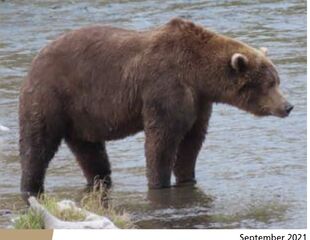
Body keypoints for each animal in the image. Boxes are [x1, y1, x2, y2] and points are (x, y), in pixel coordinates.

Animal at [18, 17, 294, 201]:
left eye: (277, 80)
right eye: (270, 83)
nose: (288, 106)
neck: (198, 76)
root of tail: (36, 59)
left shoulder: (199, 102)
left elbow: (192, 142)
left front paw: (187, 177)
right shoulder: (165, 88)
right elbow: (162, 141)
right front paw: (160, 183)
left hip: (82, 116)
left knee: (91, 153)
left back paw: (100, 182)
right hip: (53, 96)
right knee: (37, 143)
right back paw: (30, 187)